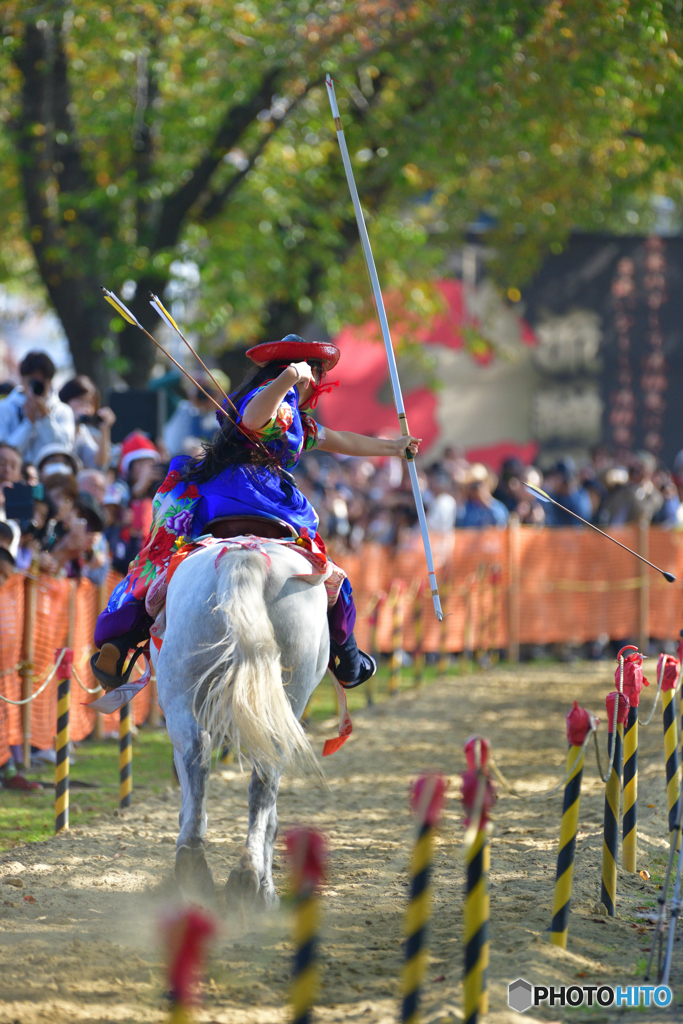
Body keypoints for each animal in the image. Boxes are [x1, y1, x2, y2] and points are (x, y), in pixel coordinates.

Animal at [150, 544, 331, 905]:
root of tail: (246, 554)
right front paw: (268, 887)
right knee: (261, 781)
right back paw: (250, 878)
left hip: (182, 693)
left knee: (198, 755)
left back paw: (200, 865)